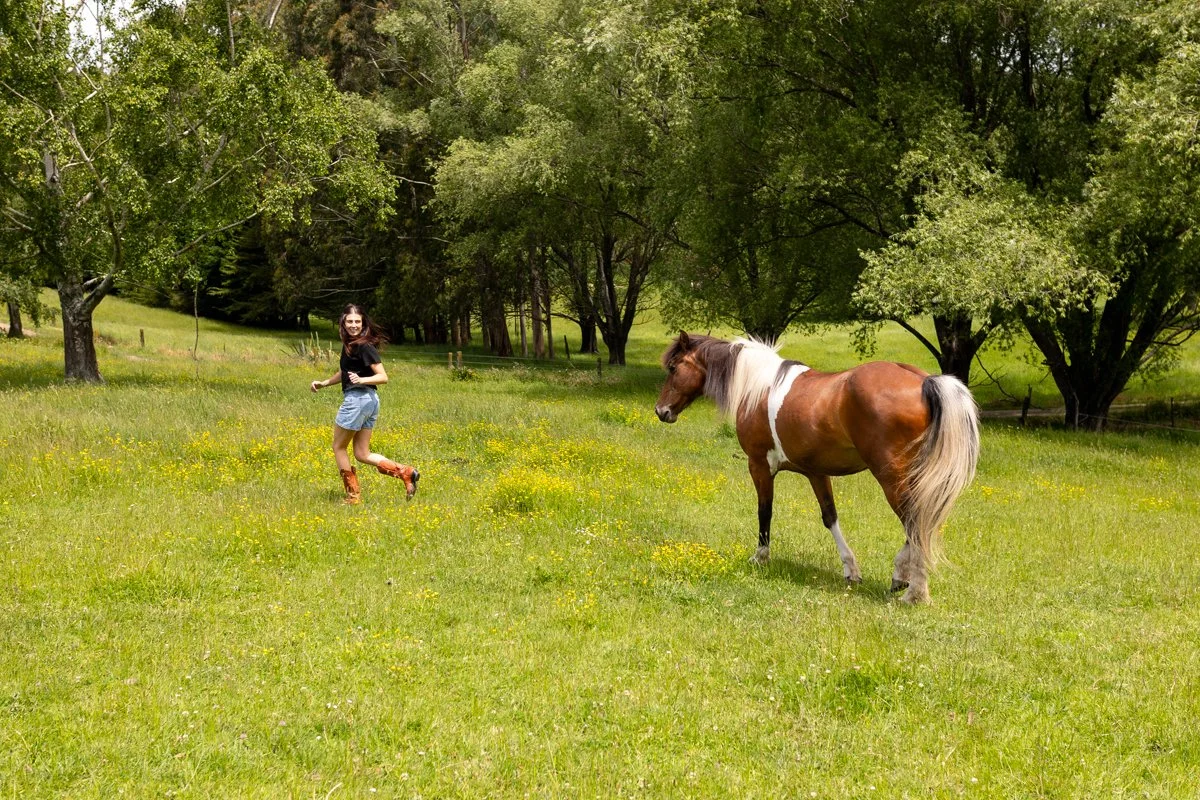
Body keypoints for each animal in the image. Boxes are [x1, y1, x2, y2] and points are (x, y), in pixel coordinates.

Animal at [654, 332, 979, 604]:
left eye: (673, 368)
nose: (661, 411)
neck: (758, 386)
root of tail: (925, 382)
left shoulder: (759, 465)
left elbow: (764, 511)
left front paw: (761, 557)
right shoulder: (816, 472)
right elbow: (830, 516)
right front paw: (850, 569)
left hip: (891, 477)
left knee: (915, 523)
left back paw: (915, 591)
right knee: (921, 523)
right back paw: (901, 575)